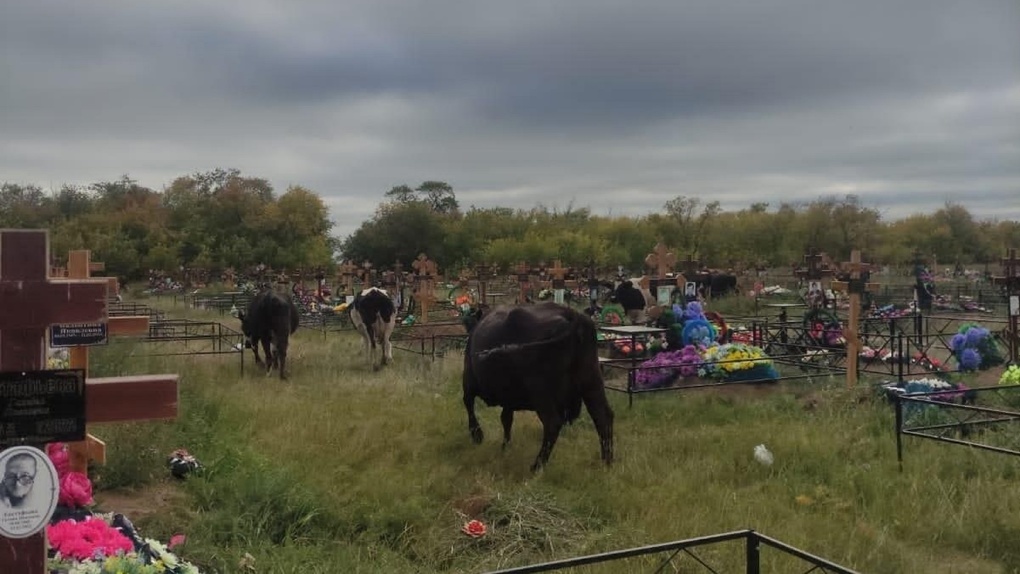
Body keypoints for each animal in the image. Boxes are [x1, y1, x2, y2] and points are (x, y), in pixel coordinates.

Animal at [463, 301, 612, 471]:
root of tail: (573, 316)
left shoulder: (468, 381)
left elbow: (469, 405)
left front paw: (477, 435)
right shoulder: (509, 397)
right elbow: (506, 419)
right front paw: (505, 446)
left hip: (541, 392)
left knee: (552, 423)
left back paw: (537, 466)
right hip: (592, 383)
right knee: (602, 417)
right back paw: (607, 462)